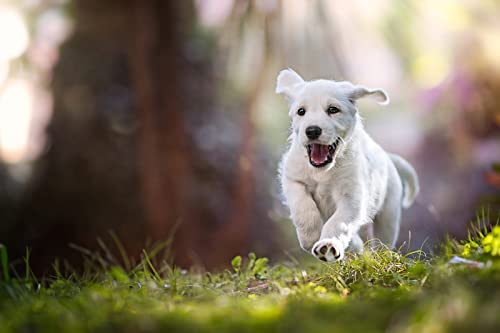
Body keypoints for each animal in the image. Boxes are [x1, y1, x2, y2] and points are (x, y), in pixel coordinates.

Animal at [276, 68, 420, 260]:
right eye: (301, 111)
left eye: (333, 109)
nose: (312, 130)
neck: (324, 171)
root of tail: (388, 157)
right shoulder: (292, 179)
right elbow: (302, 206)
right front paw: (310, 236)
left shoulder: (352, 197)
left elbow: (339, 223)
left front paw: (328, 244)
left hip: (388, 215)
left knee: (382, 241)